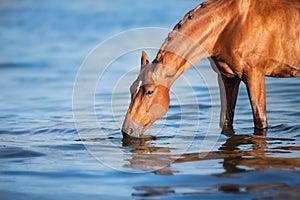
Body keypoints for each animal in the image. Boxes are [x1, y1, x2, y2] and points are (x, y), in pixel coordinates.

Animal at [122, 0, 300, 138]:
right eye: (131, 89)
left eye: (150, 91)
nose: (126, 130)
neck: (231, 25)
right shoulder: (228, 77)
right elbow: (227, 121)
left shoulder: (254, 75)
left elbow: (260, 121)